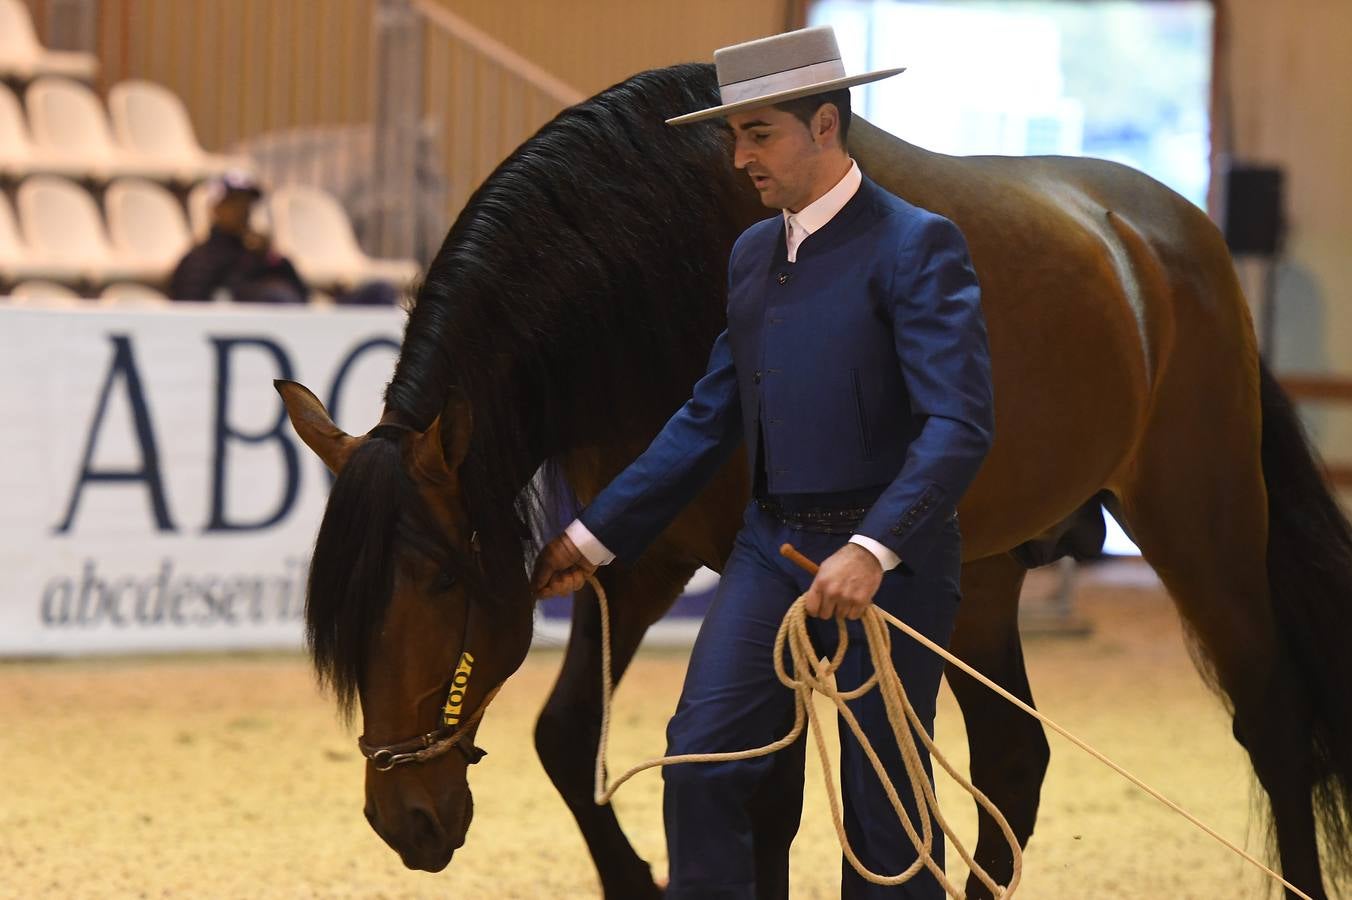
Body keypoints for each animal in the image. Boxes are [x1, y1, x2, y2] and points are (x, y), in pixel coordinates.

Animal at [274, 64, 1352, 897]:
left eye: (441, 583)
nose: (404, 818)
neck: (647, 272)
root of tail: (1167, 236)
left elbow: (766, 798)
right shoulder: (640, 555)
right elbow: (568, 737)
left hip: (1198, 518)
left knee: (1272, 717)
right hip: (981, 573)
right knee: (1014, 761)